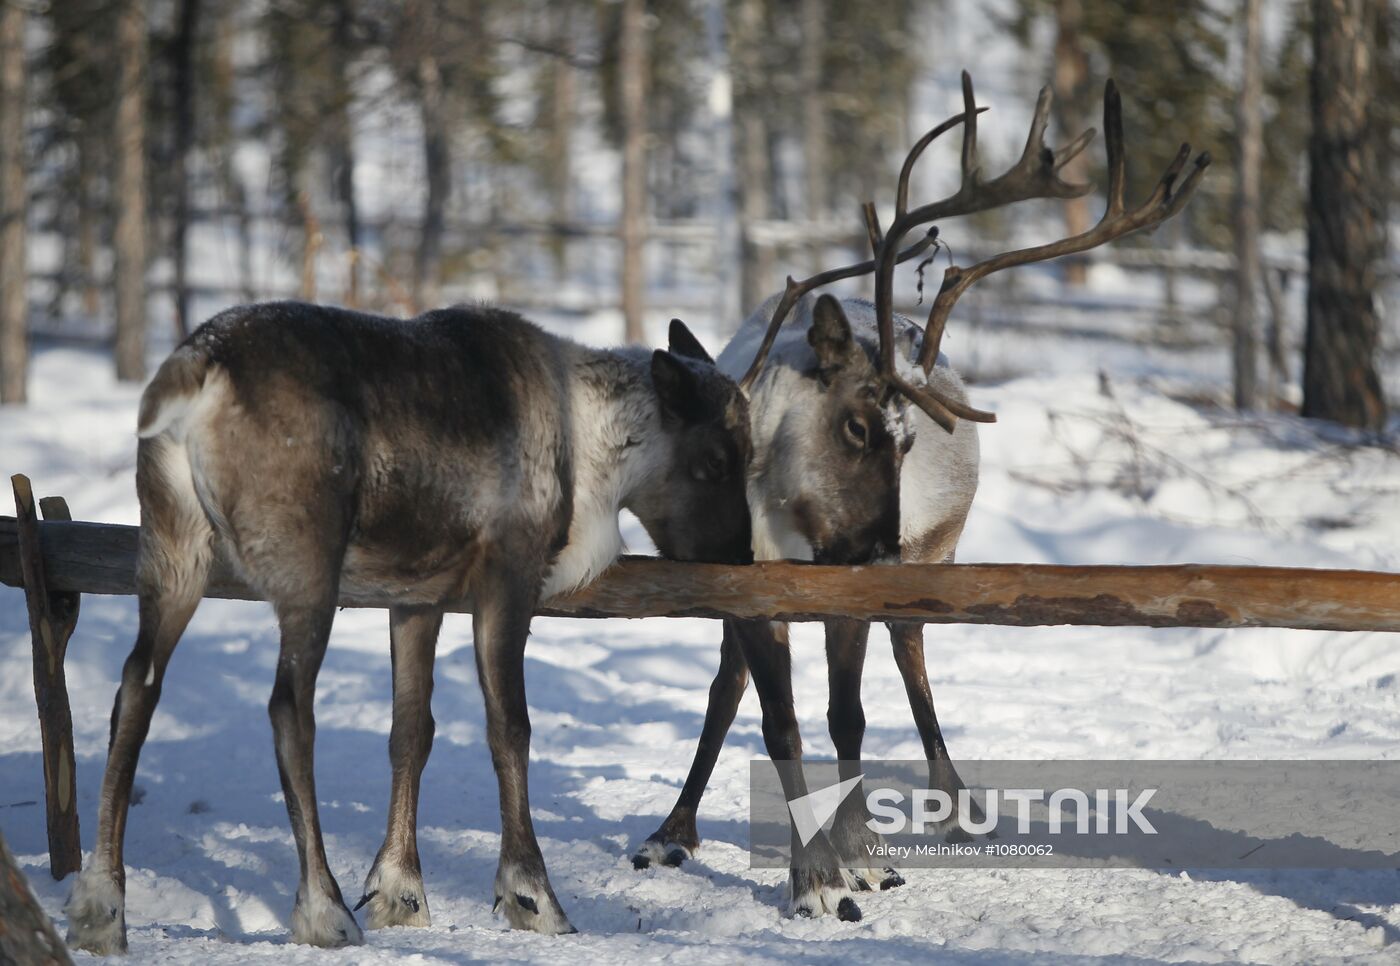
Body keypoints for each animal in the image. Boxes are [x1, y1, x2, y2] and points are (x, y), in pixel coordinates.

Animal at [63, 301, 756, 952]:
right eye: (716, 458)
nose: (743, 558)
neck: (590, 445)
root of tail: (196, 367)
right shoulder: (509, 575)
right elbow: (510, 728)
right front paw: (533, 896)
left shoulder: (416, 598)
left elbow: (411, 731)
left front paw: (400, 890)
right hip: (307, 570)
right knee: (289, 709)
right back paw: (324, 909)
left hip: (173, 552)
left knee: (136, 688)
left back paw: (101, 906)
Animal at [631, 74, 1209, 922]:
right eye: (857, 425)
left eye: (910, 440)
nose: (881, 549)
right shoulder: (756, 586)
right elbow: (778, 722)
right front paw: (814, 878)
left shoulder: (851, 587)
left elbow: (847, 717)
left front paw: (862, 860)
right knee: (728, 686)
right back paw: (672, 830)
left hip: (935, 552)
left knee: (911, 656)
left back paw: (952, 805)